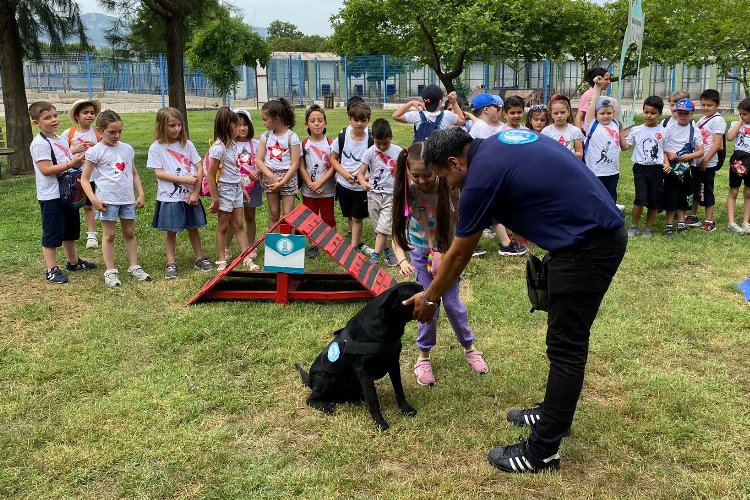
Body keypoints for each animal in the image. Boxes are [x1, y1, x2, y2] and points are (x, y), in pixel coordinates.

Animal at [296, 282, 424, 430]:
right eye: (415, 293)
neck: (388, 325)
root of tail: (311, 381)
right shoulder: (364, 372)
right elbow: (373, 400)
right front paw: (379, 422)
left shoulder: (393, 363)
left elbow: (399, 389)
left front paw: (405, 409)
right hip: (325, 380)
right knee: (310, 399)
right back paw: (326, 406)